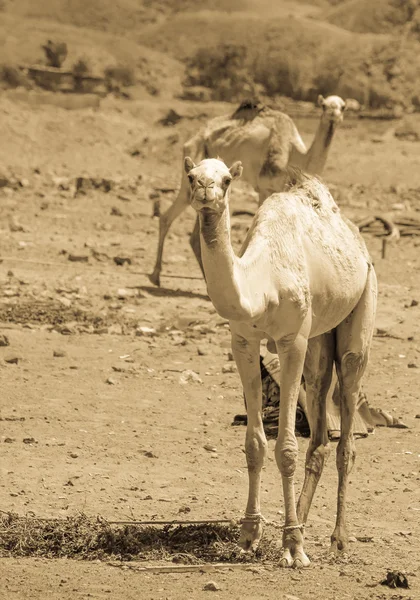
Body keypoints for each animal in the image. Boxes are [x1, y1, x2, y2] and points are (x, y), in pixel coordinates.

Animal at [149, 95, 346, 288]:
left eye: (342, 107)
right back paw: (156, 275)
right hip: (190, 175)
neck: (295, 155)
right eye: (324, 106)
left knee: (194, 236)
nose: (333, 115)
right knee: (166, 217)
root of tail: (194, 137)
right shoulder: (265, 187)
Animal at [184, 156, 378, 568]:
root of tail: (356, 240)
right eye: (191, 176)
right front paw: (250, 536)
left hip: (361, 309)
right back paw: (299, 524)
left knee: (346, 428)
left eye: (227, 180)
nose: (206, 191)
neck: (262, 284)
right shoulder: (242, 340)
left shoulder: (293, 341)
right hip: (320, 339)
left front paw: (293, 548)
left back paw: (337, 540)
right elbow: (255, 444)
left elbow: (286, 447)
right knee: (319, 425)